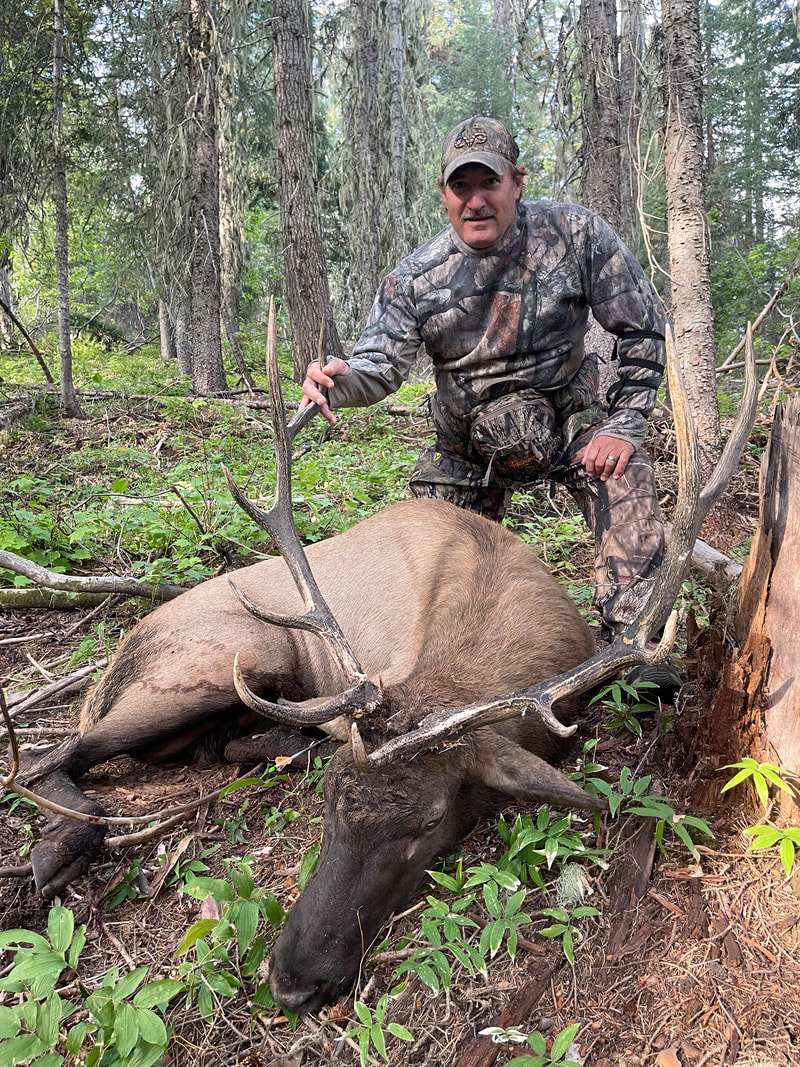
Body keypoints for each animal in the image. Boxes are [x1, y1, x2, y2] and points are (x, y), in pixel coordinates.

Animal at [4, 303, 759, 1015]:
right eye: (331, 805)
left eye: (427, 821)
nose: (292, 983)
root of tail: (105, 672)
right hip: (226, 657)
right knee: (51, 754)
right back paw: (60, 844)